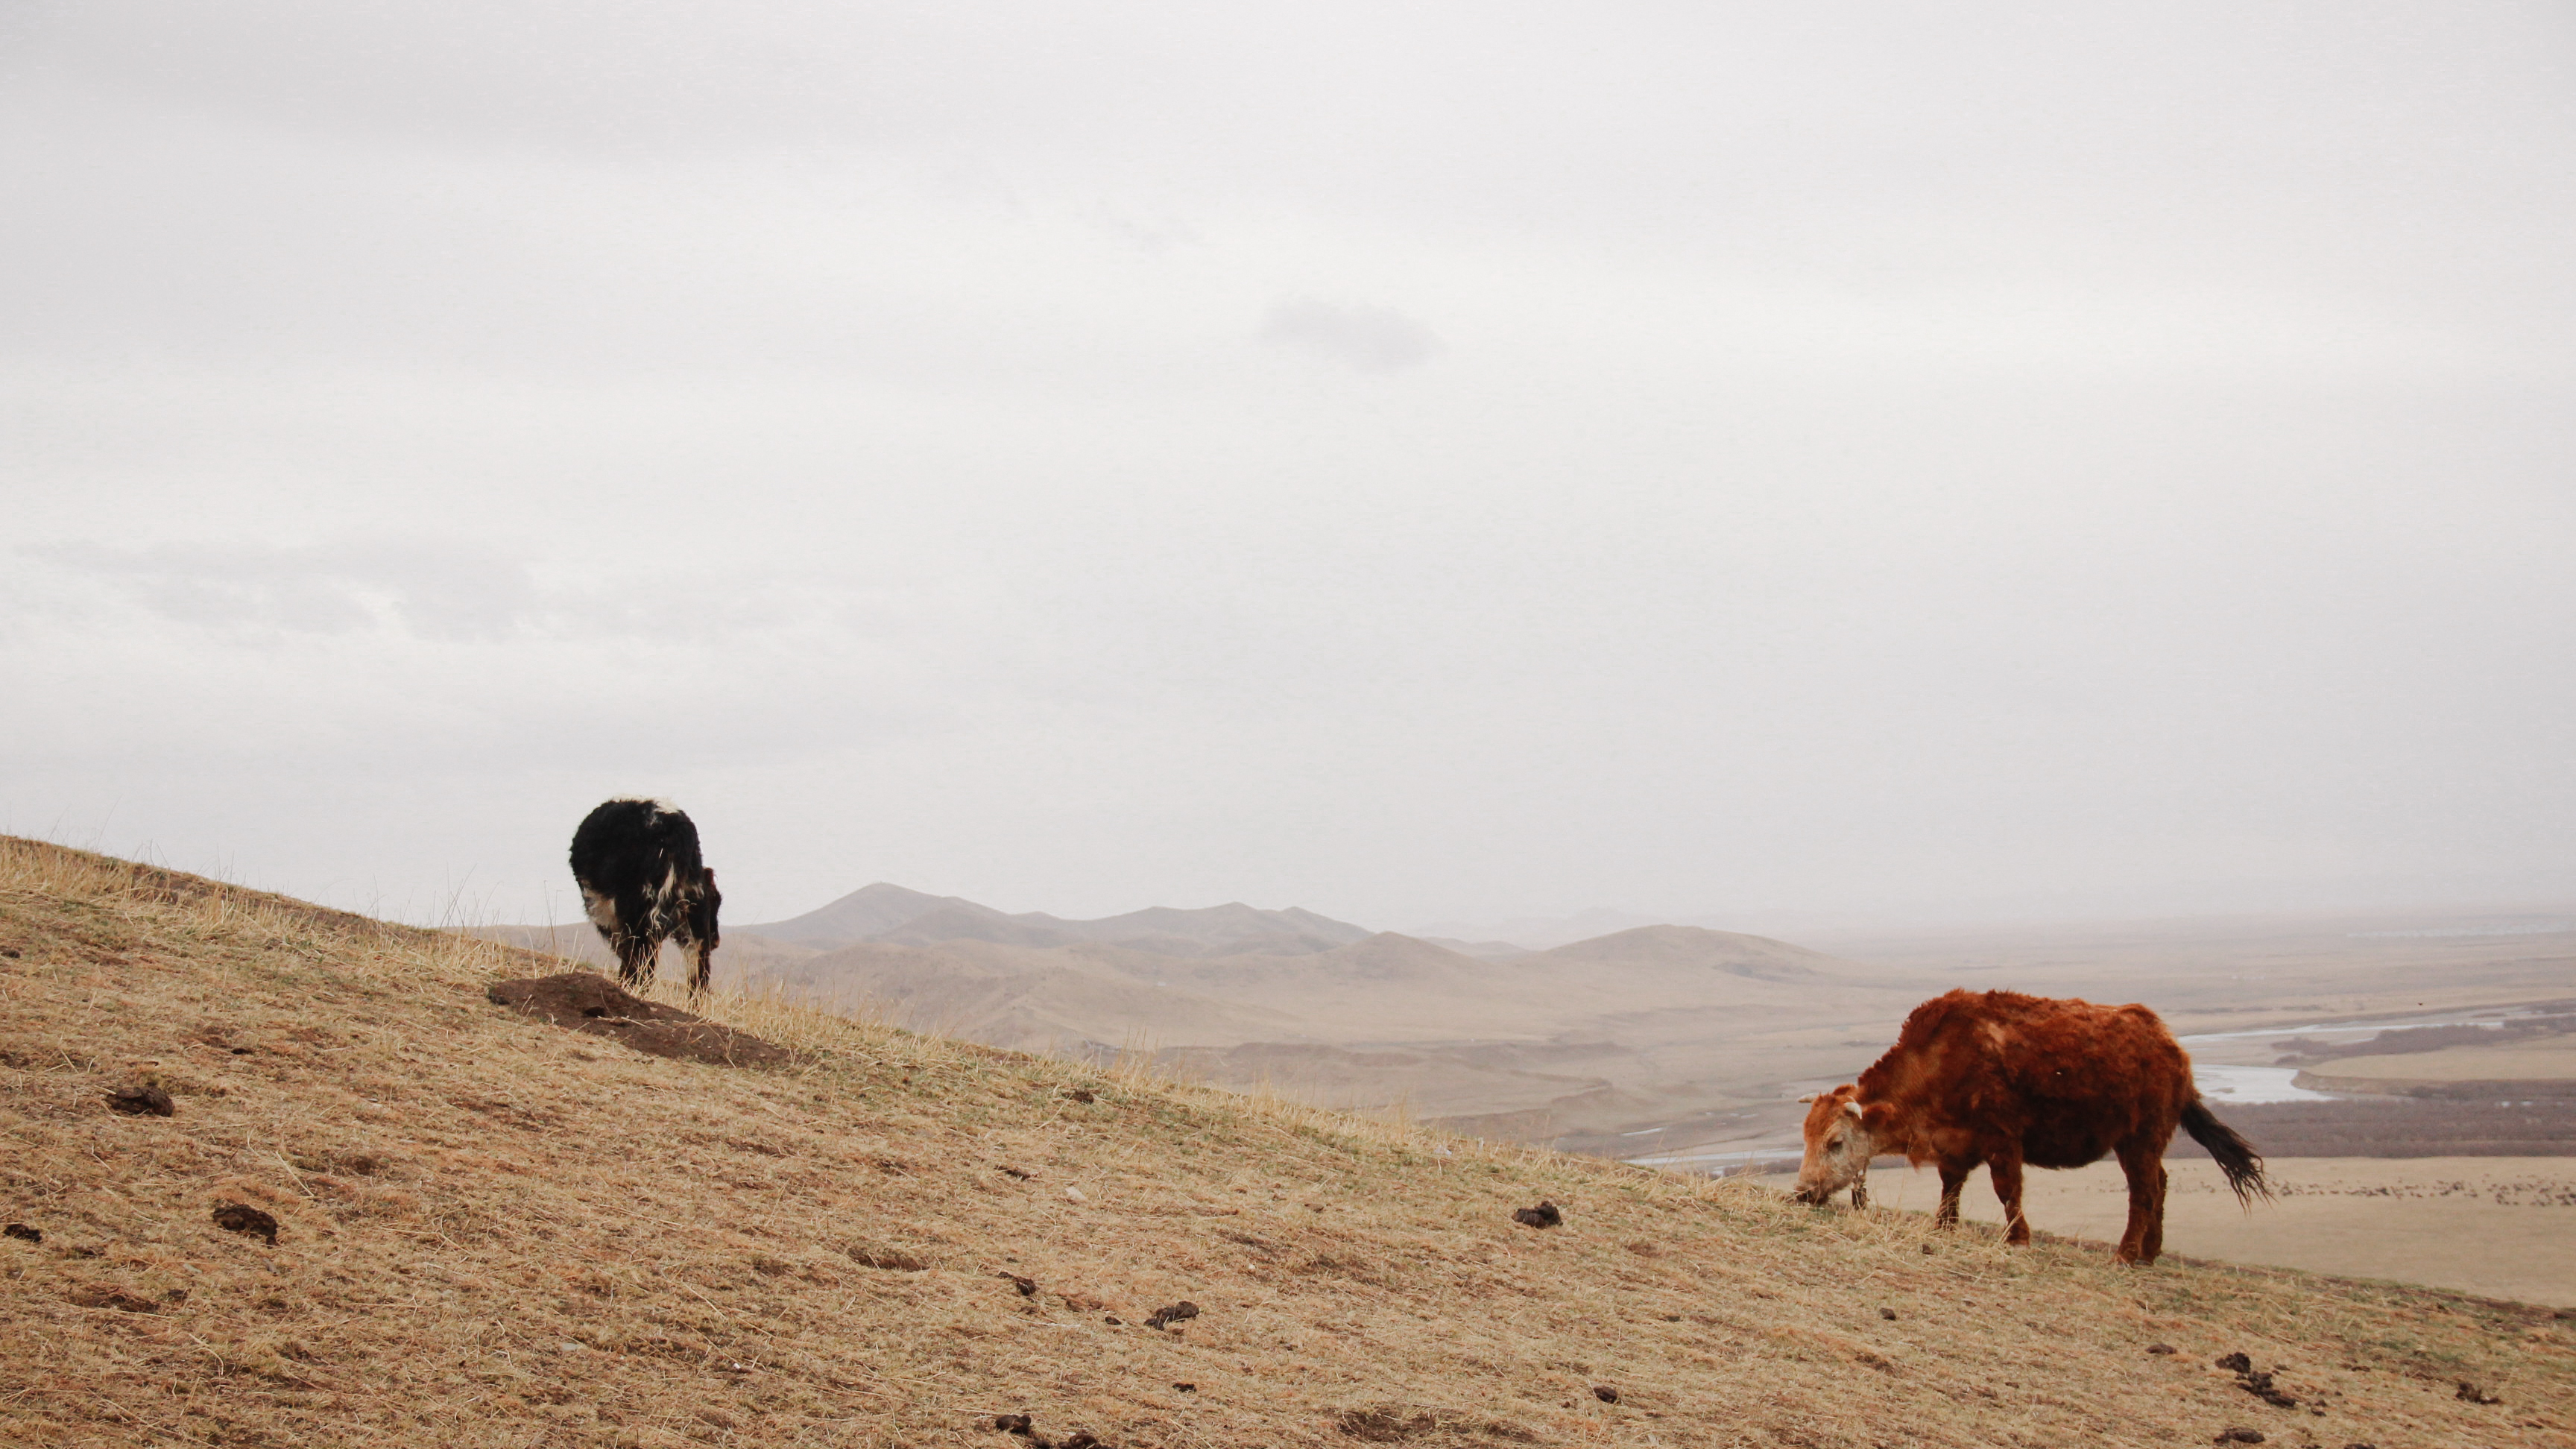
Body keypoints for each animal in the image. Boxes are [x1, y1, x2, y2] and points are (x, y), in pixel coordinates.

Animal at [569, 797, 721, 996]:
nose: (716, 940)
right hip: (691, 909)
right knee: (697, 957)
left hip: (638, 904)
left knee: (641, 948)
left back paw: (630, 986)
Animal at [1789, 988, 2267, 1264]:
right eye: (1806, 1138)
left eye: (1835, 1142)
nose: (1803, 1192)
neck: (1939, 1060)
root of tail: (2172, 1049)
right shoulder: (1953, 1145)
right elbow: (1950, 1187)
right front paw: (1943, 1227)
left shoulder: (2003, 1140)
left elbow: (2007, 1190)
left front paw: (2017, 1238)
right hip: (2144, 1141)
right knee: (2162, 1183)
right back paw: (2152, 1251)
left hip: (2139, 1138)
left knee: (2145, 1189)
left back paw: (2127, 1253)